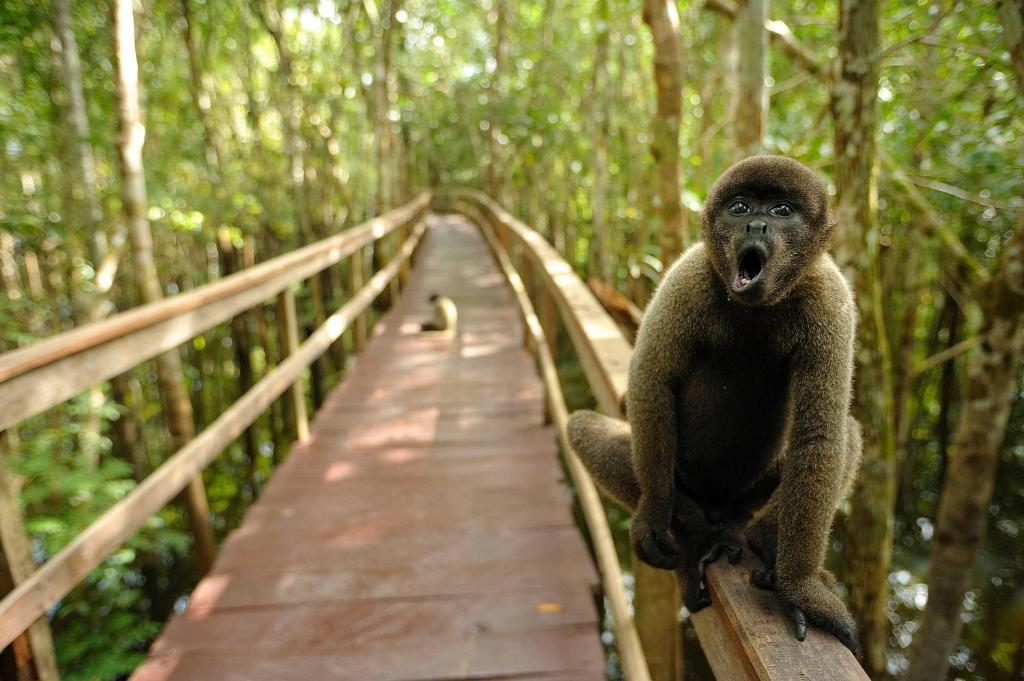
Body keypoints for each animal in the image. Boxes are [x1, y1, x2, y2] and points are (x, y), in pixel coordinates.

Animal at [569, 153, 864, 655]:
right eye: (740, 207)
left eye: (782, 211)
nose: (756, 225)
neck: (757, 309)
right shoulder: (686, 276)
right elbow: (649, 384)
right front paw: (655, 516)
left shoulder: (832, 301)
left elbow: (821, 436)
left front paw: (800, 588)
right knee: (581, 426)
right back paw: (693, 534)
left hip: (750, 496)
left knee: (848, 433)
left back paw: (765, 542)